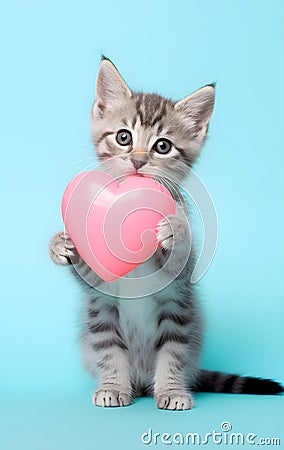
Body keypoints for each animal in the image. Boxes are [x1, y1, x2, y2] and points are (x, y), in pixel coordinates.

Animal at [48, 58, 282, 410]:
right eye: (123, 137)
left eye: (162, 146)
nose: (138, 160)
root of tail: (143, 380)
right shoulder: (102, 290)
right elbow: (93, 271)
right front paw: (61, 245)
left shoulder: (177, 280)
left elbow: (178, 259)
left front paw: (174, 229)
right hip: (101, 321)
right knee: (110, 352)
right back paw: (115, 386)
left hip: (179, 317)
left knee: (173, 354)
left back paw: (171, 391)